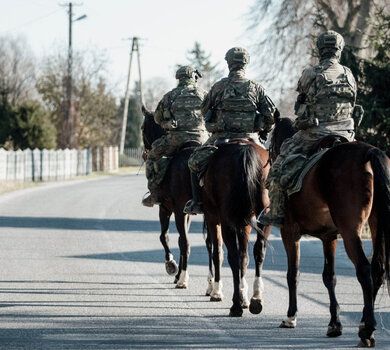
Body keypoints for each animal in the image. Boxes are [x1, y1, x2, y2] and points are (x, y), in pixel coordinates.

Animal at [142, 105, 200, 288]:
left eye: (142, 128)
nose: (145, 152)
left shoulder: (165, 208)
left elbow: (164, 236)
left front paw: (171, 265)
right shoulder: (187, 213)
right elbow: (180, 239)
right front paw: (179, 271)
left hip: (178, 210)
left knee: (186, 243)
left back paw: (182, 280)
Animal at [203, 139, 272, 318]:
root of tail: (243, 150)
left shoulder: (213, 217)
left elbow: (218, 253)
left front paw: (218, 292)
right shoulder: (245, 224)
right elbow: (244, 258)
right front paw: (244, 297)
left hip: (225, 221)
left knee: (232, 256)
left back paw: (235, 306)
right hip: (265, 212)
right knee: (258, 251)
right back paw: (256, 298)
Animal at [272, 115, 390, 348]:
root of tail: (369, 152)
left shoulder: (289, 233)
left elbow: (293, 274)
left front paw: (291, 316)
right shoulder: (329, 237)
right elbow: (329, 277)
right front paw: (335, 323)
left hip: (350, 229)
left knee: (364, 269)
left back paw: (367, 329)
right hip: (376, 223)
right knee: (377, 269)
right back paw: (364, 324)